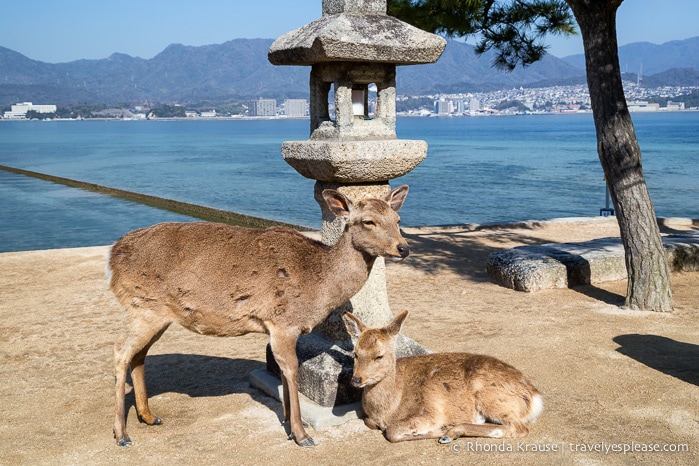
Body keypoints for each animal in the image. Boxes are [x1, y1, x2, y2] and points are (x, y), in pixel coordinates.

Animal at [109, 185, 410, 448]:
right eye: (368, 221)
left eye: (398, 219)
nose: (403, 248)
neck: (319, 284)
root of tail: (112, 260)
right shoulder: (283, 322)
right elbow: (291, 369)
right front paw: (302, 435)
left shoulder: (281, 328)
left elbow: (283, 372)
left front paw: (290, 423)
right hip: (143, 307)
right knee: (120, 351)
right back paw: (122, 434)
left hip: (156, 315)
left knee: (139, 354)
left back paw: (149, 416)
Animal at [342, 312, 544, 442]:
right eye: (355, 353)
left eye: (379, 356)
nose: (356, 380)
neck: (390, 408)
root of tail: (535, 396)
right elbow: (370, 422)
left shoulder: (429, 411)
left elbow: (392, 432)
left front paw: (439, 429)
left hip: (492, 397)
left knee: (518, 428)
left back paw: (451, 432)